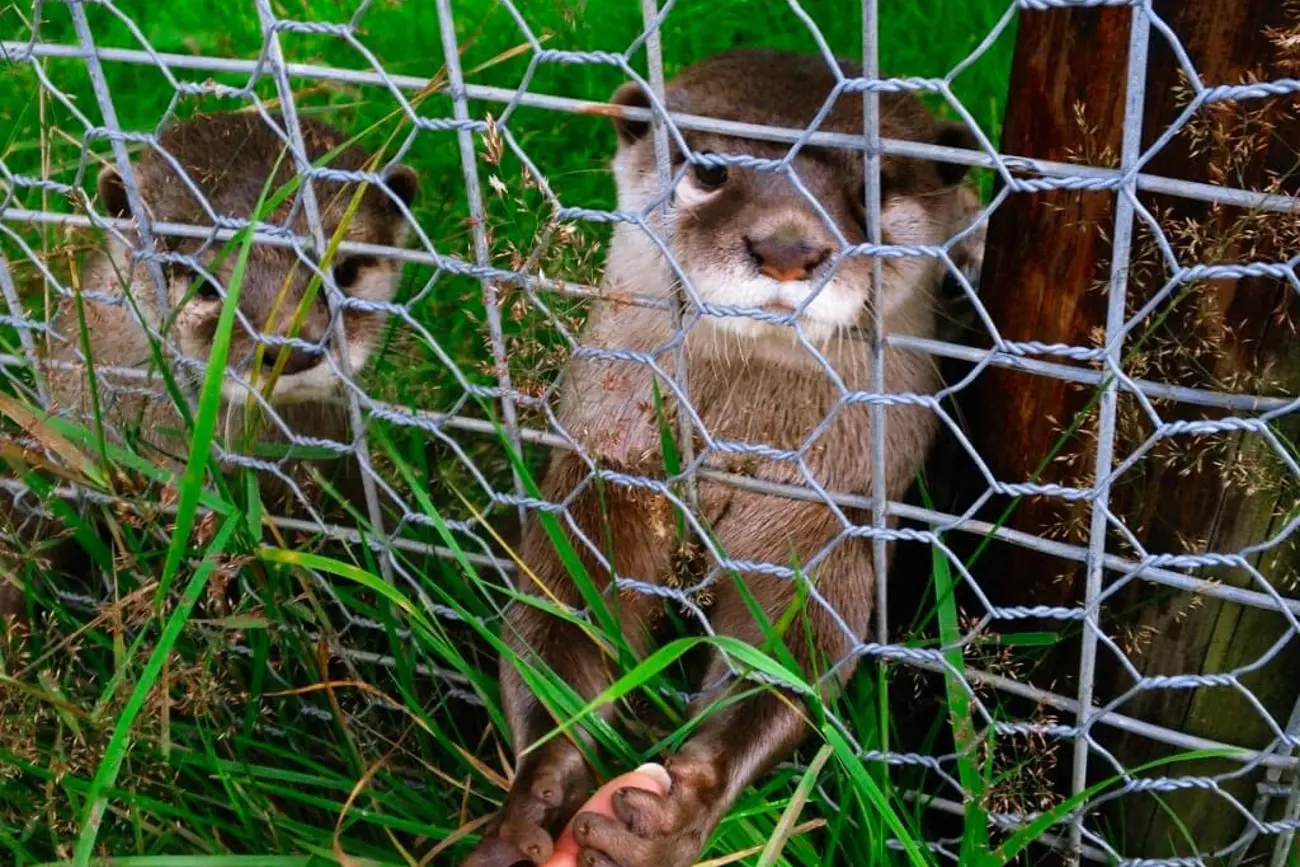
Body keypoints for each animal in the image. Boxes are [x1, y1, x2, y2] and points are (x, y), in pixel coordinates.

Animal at [462, 49, 977, 867]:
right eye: (709, 167)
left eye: (876, 183)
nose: (789, 249)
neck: (735, 438)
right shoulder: (605, 466)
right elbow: (555, 616)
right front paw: (530, 800)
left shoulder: (823, 519)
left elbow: (792, 657)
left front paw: (678, 812)